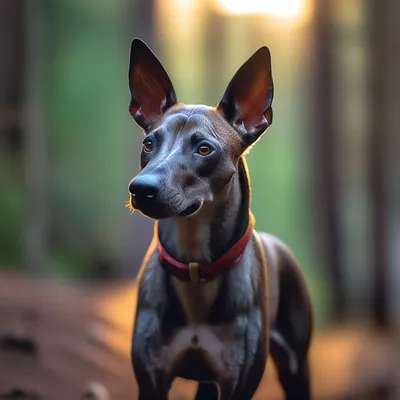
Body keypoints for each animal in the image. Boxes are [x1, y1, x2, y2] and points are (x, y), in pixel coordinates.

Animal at [126, 38, 314, 400]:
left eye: (204, 149)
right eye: (149, 143)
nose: (142, 188)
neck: (195, 267)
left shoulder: (239, 383)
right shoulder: (150, 381)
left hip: (296, 365)